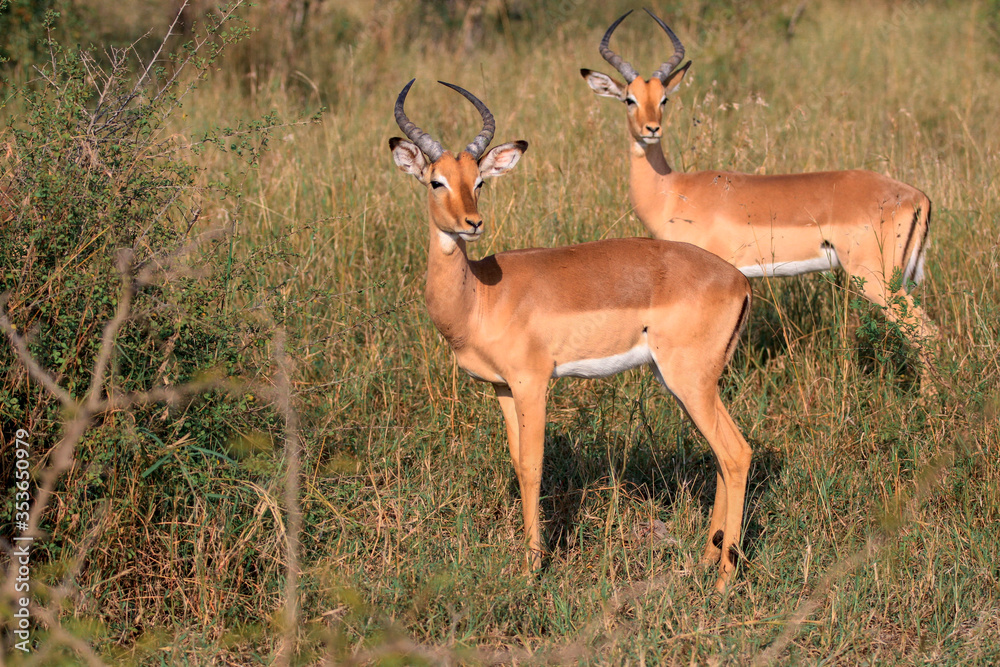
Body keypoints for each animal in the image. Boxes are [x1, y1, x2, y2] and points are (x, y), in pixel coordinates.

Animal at [389, 78, 755, 592]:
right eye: (436, 181)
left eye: (479, 181)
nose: (472, 224)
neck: (480, 296)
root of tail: (738, 280)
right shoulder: (503, 388)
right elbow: (518, 462)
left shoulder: (533, 383)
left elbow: (534, 466)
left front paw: (531, 567)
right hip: (687, 384)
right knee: (722, 457)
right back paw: (704, 562)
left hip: (689, 381)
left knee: (736, 453)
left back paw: (722, 581)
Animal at [582, 9, 938, 389]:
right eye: (629, 99)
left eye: (664, 98)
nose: (651, 129)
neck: (671, 190)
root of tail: (918, 197)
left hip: (875, 280)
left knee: (925, 332)